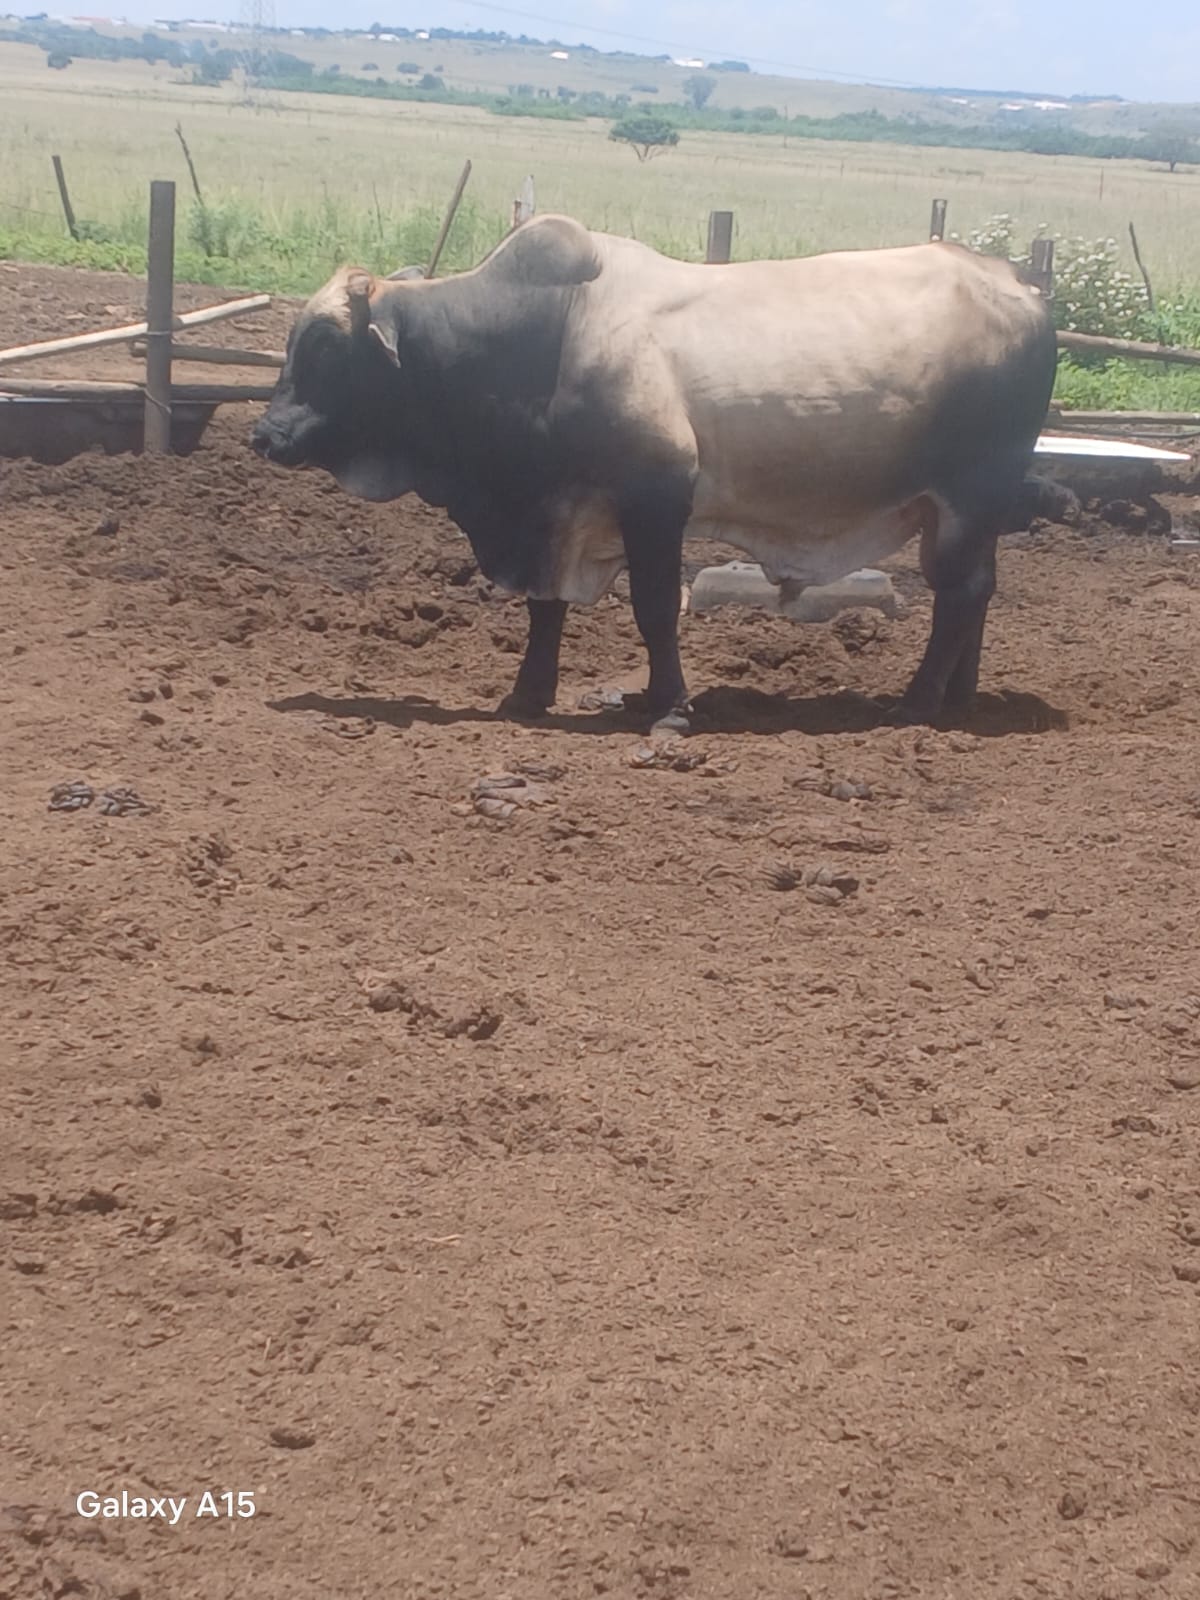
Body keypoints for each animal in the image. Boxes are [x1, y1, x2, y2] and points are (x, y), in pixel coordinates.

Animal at [252, 215, 1057, 728]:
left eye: (325, 346)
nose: (265, 434)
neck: (536, 341)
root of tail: (1021, 288)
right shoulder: (555, 514)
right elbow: (546, 609)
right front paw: (526, 696)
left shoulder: (656, 499)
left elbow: (654, 609)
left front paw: (668, 707)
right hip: (961, 512)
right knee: (973, 593)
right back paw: (956, 697)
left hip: (969, 497)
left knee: (961, 593)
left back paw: (916, 704)